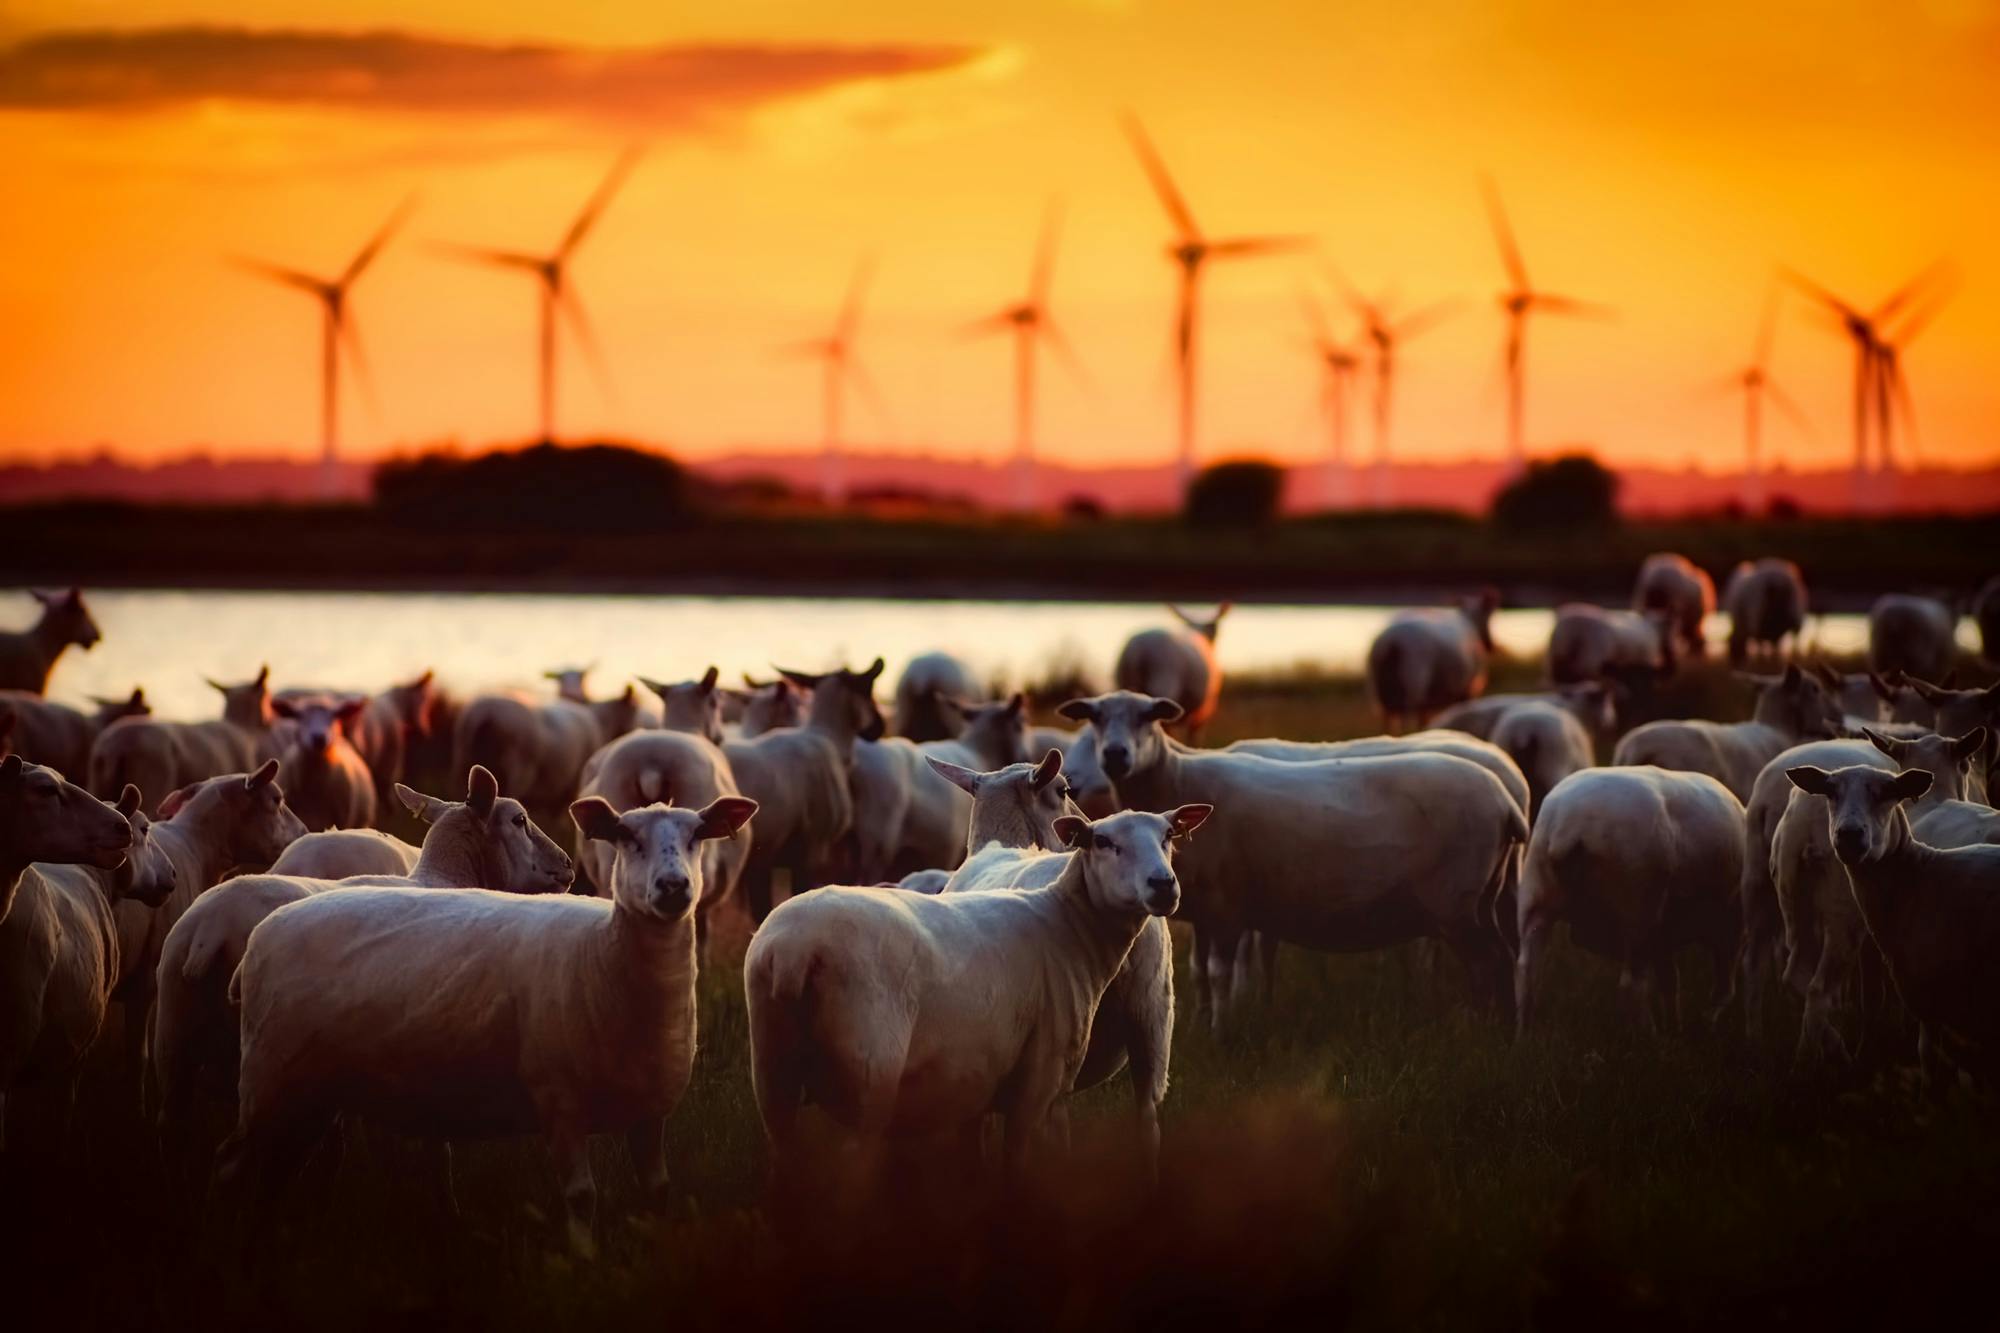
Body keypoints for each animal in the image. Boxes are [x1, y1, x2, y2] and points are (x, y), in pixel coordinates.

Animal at [215, 792, 752, 1248]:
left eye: (697, 836)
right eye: (625, 837)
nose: (673, 887)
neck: (603, 948)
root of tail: (262, 935)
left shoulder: (650, 1114)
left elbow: (658, 1192)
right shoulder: (559, 1101)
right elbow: (581, 1197)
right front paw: (582, 1262)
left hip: (311, 1092)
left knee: (279, 1170)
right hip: (268, 1079)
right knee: (232, 1165)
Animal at [748, 800, 1200, 1176]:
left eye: (1168, 836)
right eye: (1103, 841)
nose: (1163, 884)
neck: (1067, 921)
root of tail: (793, 952)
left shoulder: (979, 1080)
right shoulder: (1040, 1079)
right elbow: (1018, 1162)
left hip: (772, 1070)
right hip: (867, 1072)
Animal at [1360, 592, 1504, 732]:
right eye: (1489, 614)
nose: (1490, 646)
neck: (1470, 621)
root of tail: (1391, 641)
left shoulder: (1428, 703)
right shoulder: (1467, 690)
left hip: (1383, 694)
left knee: (1389, 722)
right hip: (1413, 686)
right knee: (1407, 721)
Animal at [1512, 764, 1752, 1032]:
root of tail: (1569, 825)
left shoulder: (1664, 936)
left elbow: (1670, 981)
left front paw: (1675, 1026)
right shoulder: (1731, 926)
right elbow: (1723, 989)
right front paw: (1702, 1023)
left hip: (1536, 894)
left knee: (1527, 973)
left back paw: (1523, 1035)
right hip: (1639, 909)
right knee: (1632, 985)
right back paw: (1648, 1034)